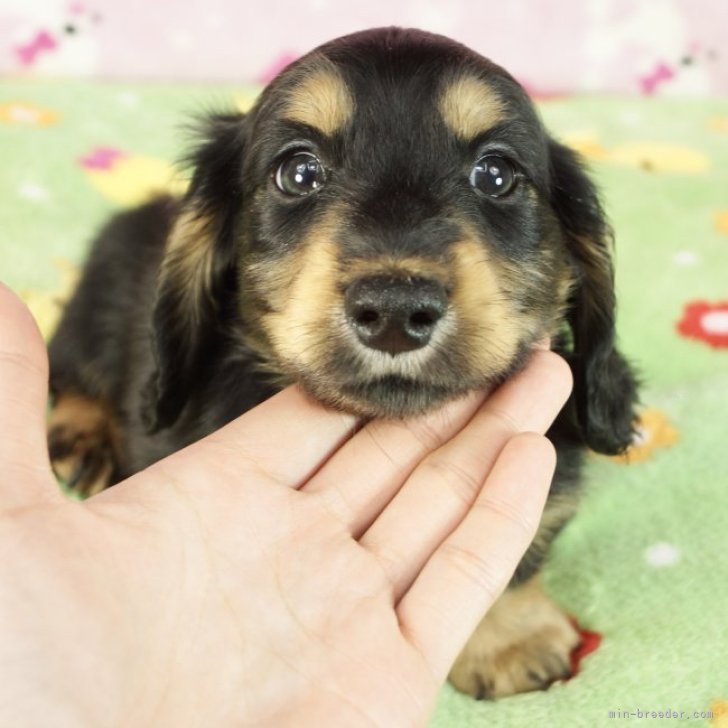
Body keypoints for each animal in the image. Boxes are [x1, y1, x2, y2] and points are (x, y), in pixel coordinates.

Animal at [47, 28, 636, 700]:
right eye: (298, 172)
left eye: (495, 174)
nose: (395, 310)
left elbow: (522, 550)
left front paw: (511, 639)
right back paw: (83, 438)